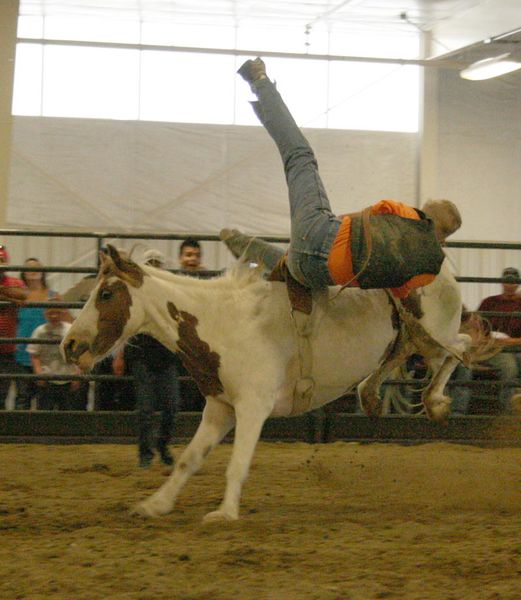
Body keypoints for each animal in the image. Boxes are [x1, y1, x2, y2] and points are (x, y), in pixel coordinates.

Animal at [63, 244, 470, 520]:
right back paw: (370, 393)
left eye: (105, 293)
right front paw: (155, 504)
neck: (223, 321)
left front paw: (225, 513)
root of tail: (443, 270)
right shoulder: (220, 408)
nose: (70, 345)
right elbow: (189, 459)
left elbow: (237, 463)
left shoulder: (252, 408)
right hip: (412, 339)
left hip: (436, 335)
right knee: (407, 354)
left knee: (462, 347)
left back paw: (435, 402)